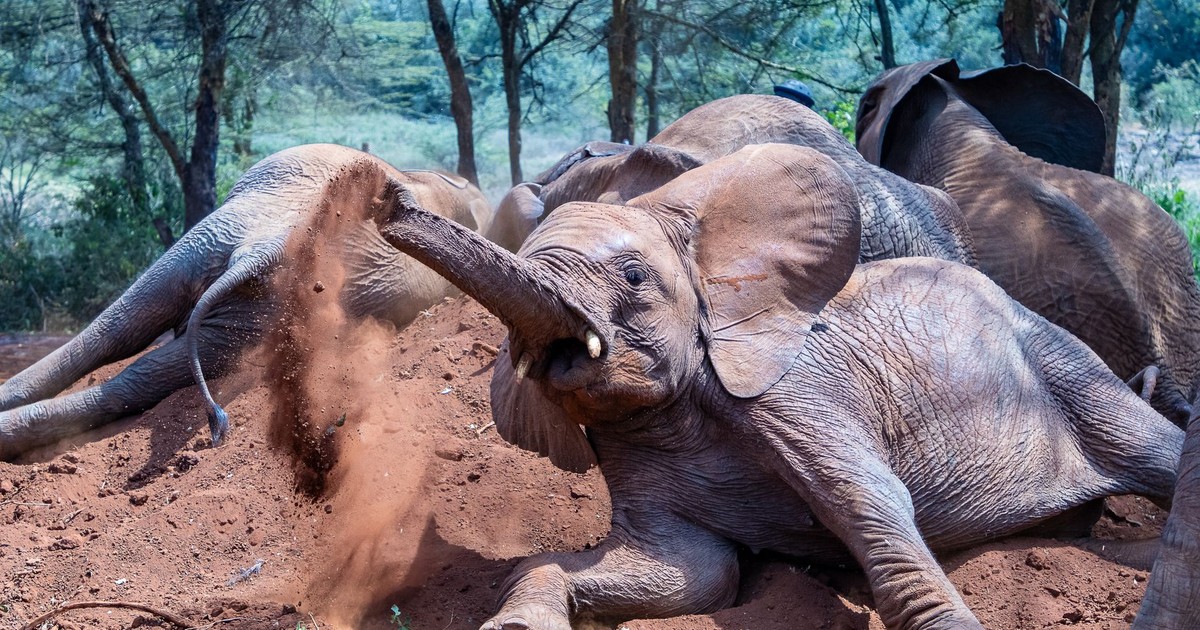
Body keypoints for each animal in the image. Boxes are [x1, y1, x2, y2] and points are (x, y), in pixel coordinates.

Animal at [372, 142, 1182, 629]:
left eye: (632, 279)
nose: (387, 199)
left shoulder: (791, 395)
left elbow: (873, 508)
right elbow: (695, 573)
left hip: (1060, 359)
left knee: (1153, 450)